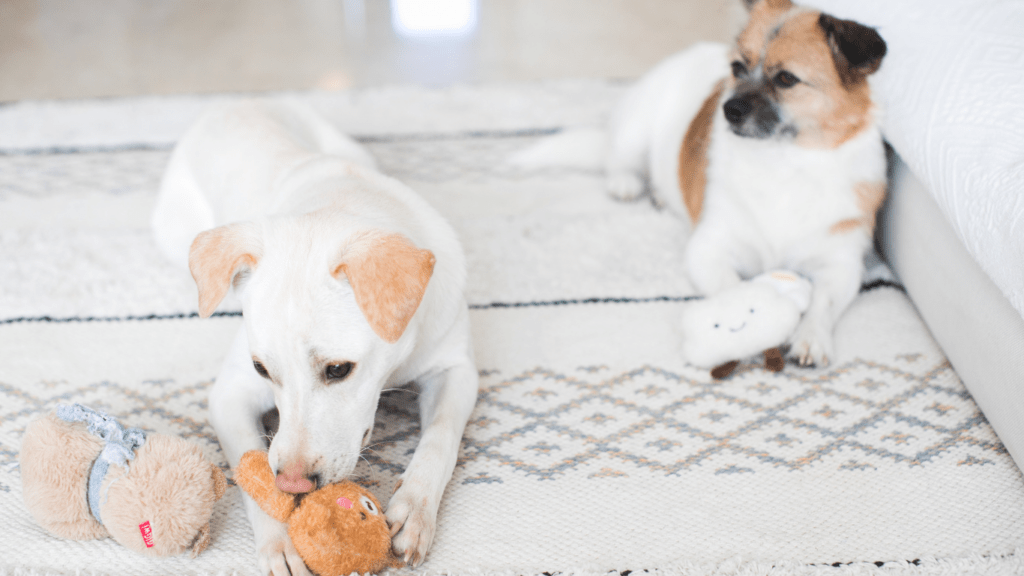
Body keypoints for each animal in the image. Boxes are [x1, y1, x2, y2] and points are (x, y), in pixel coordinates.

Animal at [152, 98, 479, 569]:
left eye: (339, 369)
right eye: (261, 369)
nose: (294, 484)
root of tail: (233, 104)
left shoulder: (456, 368)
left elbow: (440, 437)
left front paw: (414, 509)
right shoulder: (230, 393)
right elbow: (252, 474)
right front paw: (278, 543)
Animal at [606, 0, 888, 364]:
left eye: (786, 79)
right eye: (738, 67)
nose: (729, 110)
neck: (784, 162)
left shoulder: (842, 267)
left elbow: (822, 303)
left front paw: (810, 336)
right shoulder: (707, 249)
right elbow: (735, 289)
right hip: (635, 131)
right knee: (617, 157)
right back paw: (626, 183)